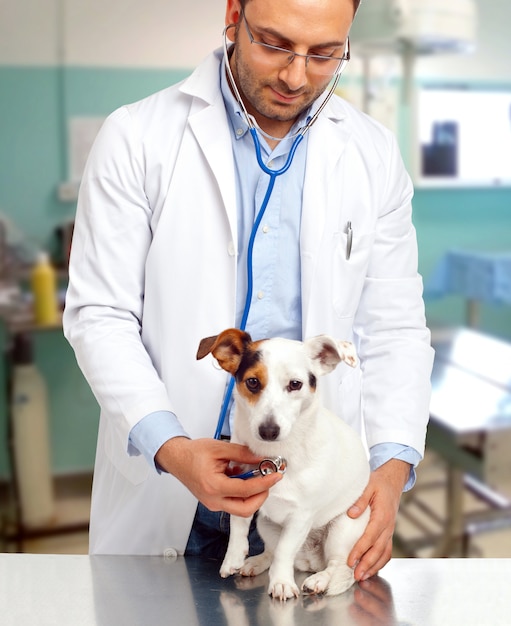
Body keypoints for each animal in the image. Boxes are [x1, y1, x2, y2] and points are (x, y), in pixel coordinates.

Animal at [198, 330, 370, 596]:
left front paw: (281, 583)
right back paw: (256, 562)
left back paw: (321, 580)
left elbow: (284, 551)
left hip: (343, 528)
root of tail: (311, 560)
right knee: (270, 550)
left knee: (341, 566)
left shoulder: (301, 517)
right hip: (266, 524)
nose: (269, 430)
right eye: (252, 382)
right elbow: (239, 526)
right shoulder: (242, 494)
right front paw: (233, 557)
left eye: (295, 384)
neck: (274, 455)